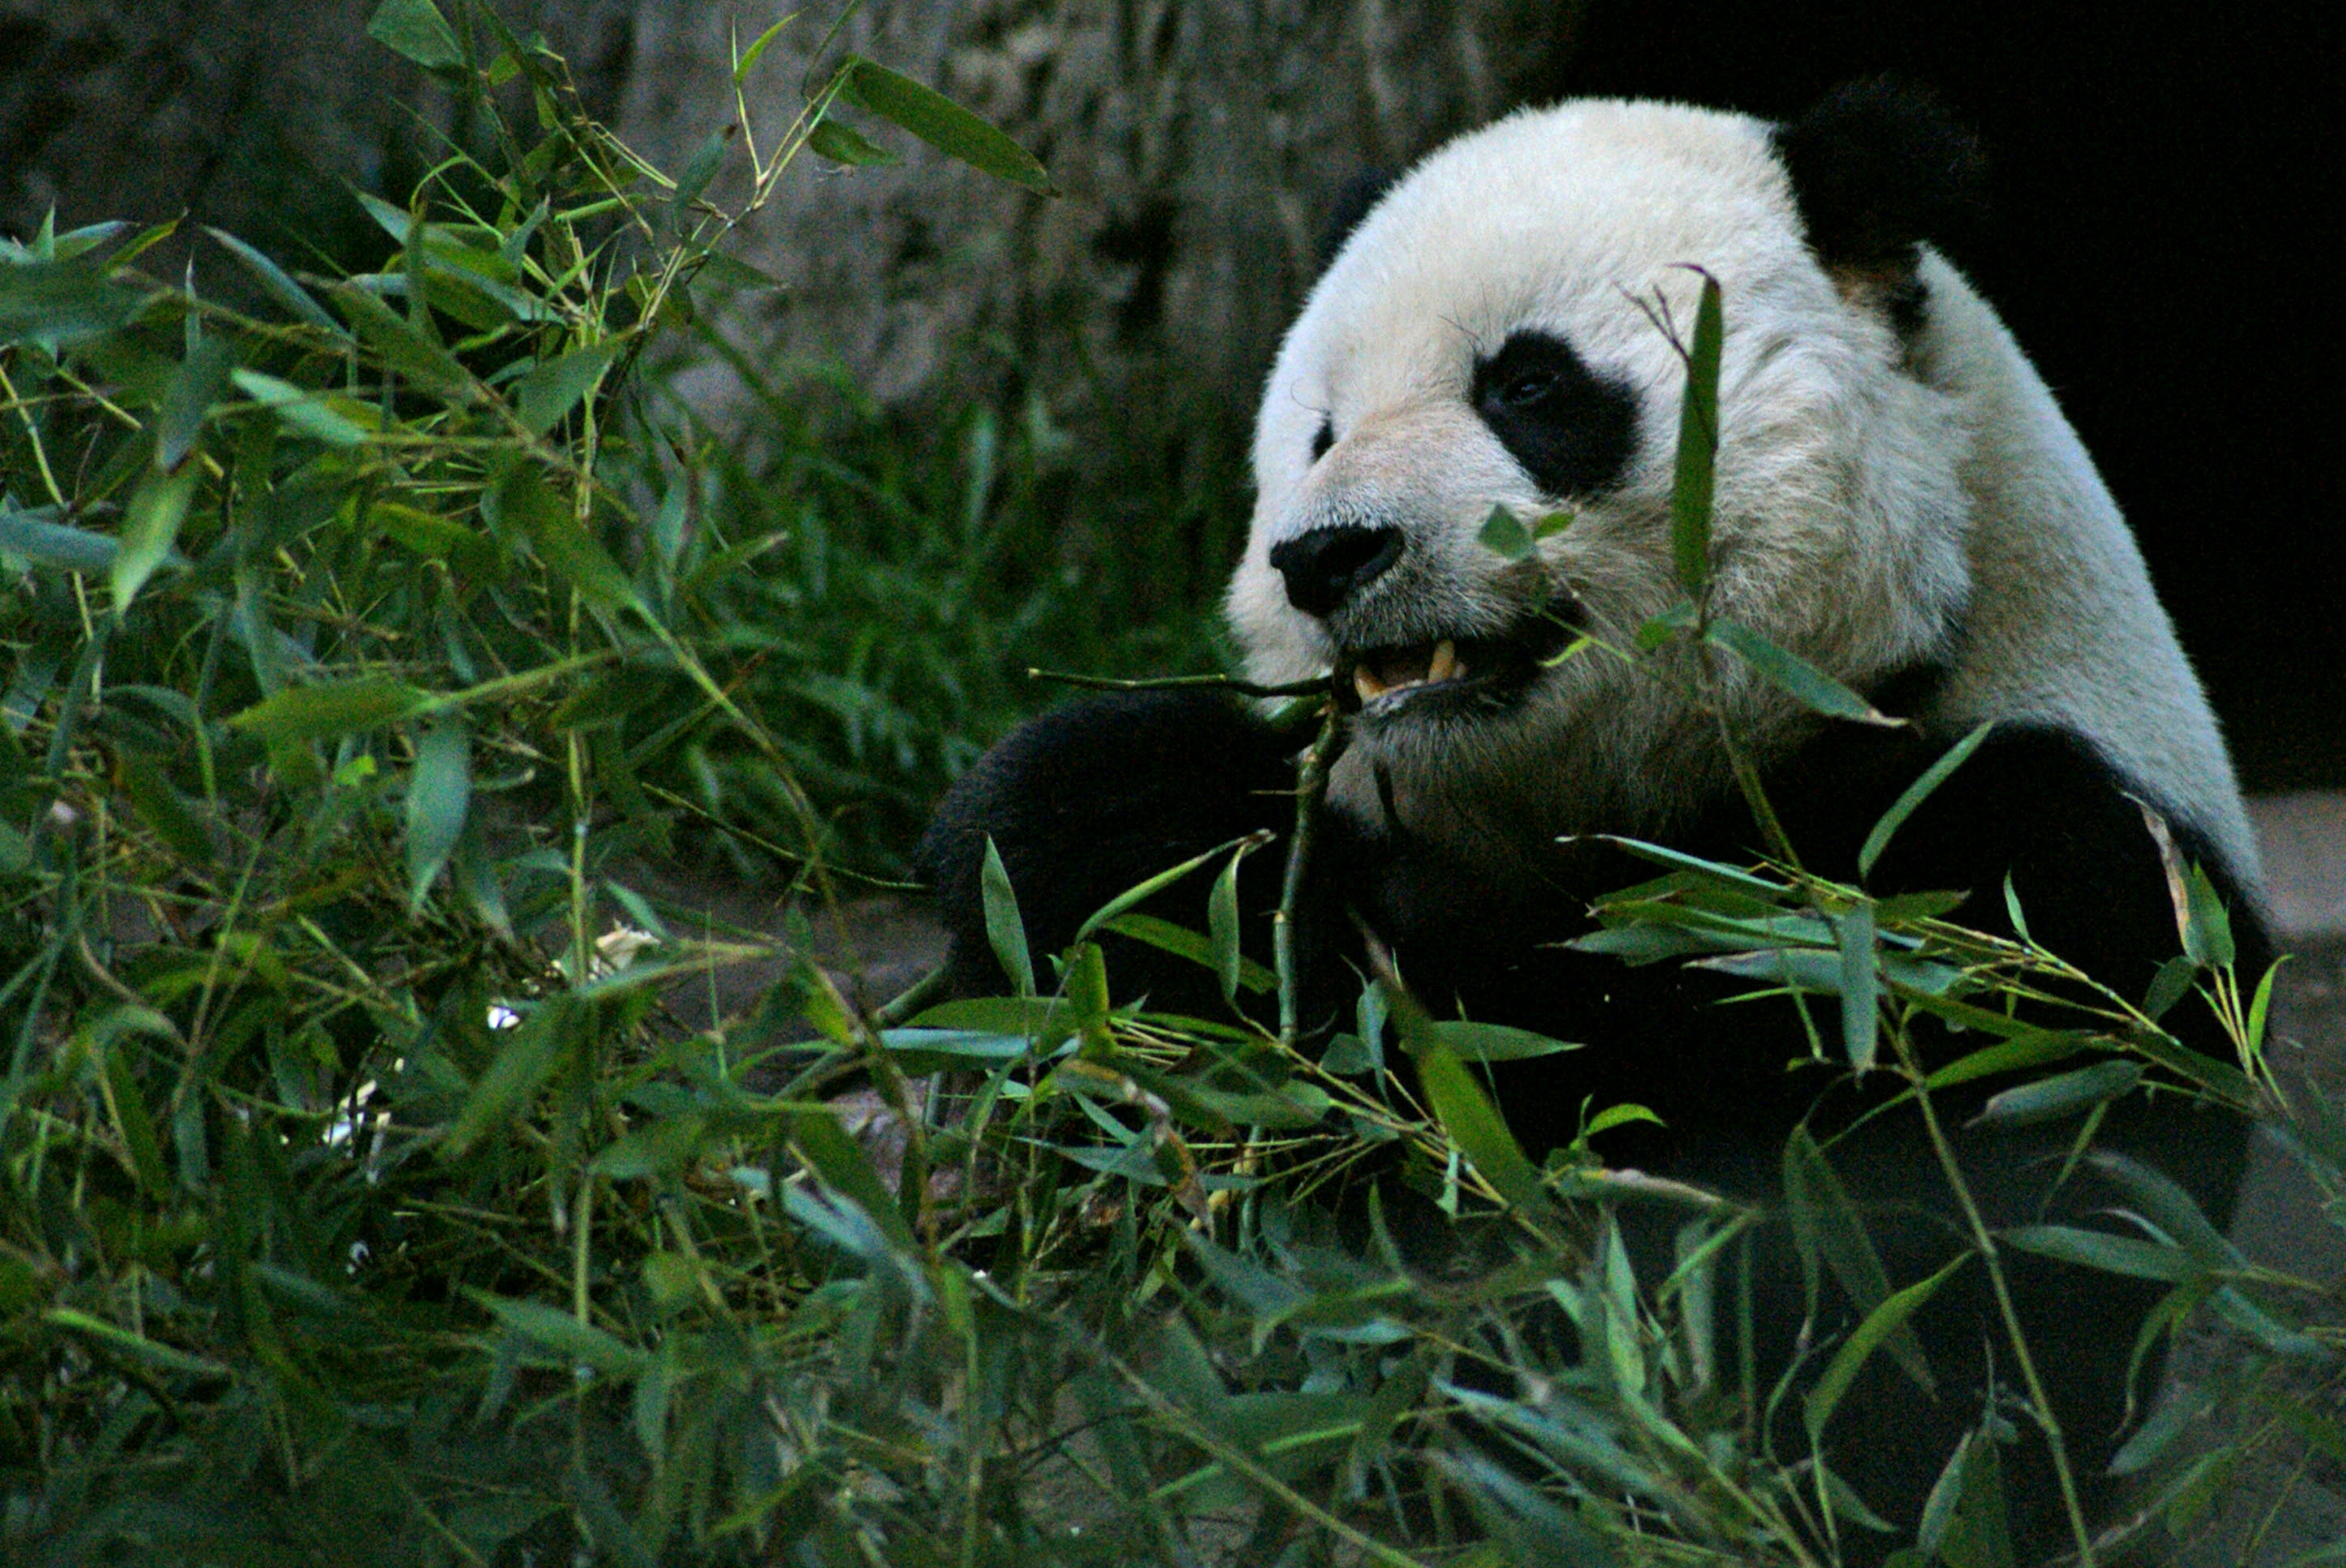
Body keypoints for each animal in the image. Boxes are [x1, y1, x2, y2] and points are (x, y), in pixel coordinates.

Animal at [920, 80, 2269, 1562]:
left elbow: (1825, 1279)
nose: (1327, 554)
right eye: (1318, 434)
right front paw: (1099, 836)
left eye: (1529, 386)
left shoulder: (2006, 881)